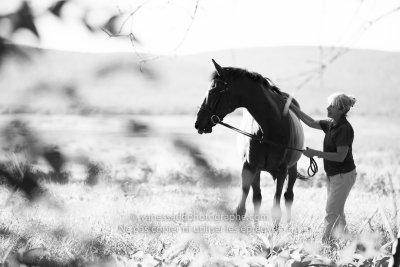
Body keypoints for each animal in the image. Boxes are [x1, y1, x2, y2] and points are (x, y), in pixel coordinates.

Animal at [194, 59, 304, 225]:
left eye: (212, 92)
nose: (198, 123)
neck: (269, 128)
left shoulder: (281, 171)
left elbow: (276, 210)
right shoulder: (249, 167)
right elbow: (241, 209)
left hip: (292, 169)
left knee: (288, 196)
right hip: (257, 171)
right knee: (257, 198)